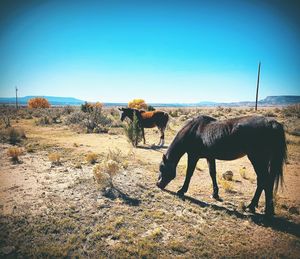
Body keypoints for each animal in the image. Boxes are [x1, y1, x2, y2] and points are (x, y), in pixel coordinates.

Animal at [156, 116, 288, 217]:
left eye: (162, 168)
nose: (158, 184)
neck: (193, 131)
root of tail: (272, 123)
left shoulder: (193, 156)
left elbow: (189, 173)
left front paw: (182, 190)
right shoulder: (210, 157)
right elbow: (212, 173)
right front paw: (215, 194)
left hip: (257, 158)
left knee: (264, 180)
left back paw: (259, 208)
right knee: (263, 181)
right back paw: (255, 207)